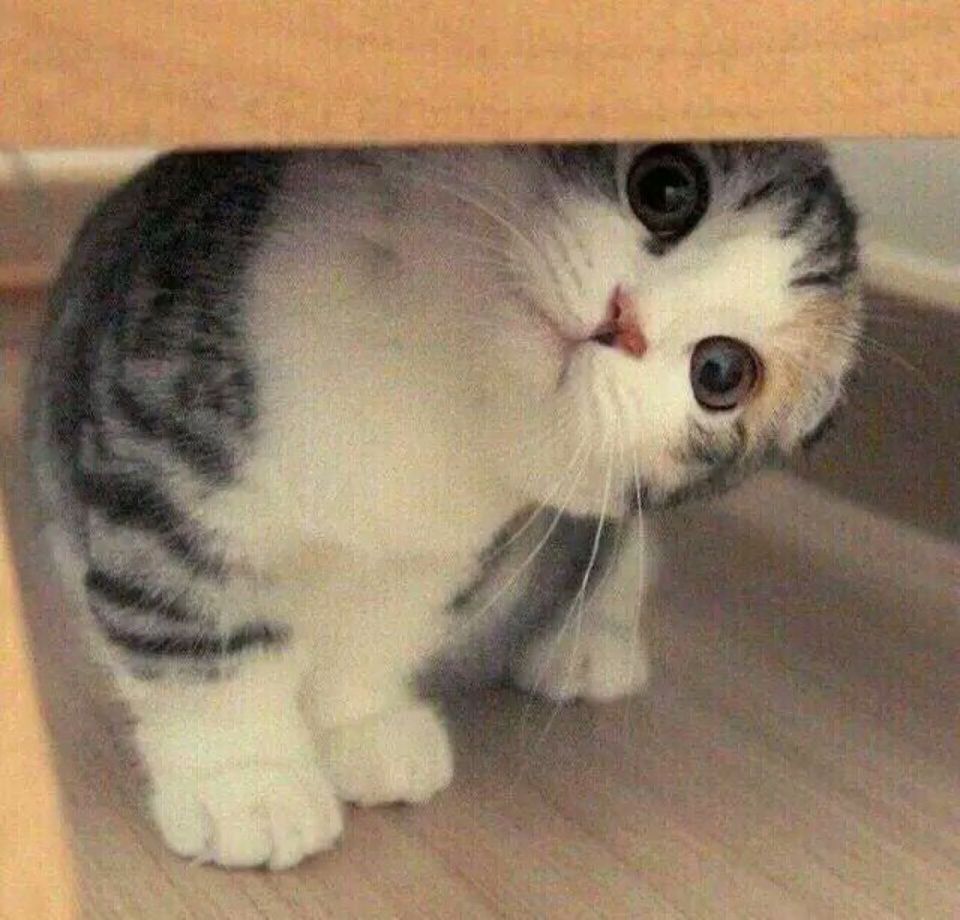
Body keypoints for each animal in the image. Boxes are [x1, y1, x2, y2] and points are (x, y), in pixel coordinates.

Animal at [28, 142, 861, 869]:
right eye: (665, 185)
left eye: (721, 372)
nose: (621, 322)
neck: (443, 370)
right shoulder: (164, 455)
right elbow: (191, 619)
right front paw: (248, 781)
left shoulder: (457, 544)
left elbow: (381, 630)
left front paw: (361, 726)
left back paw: (589, 640)